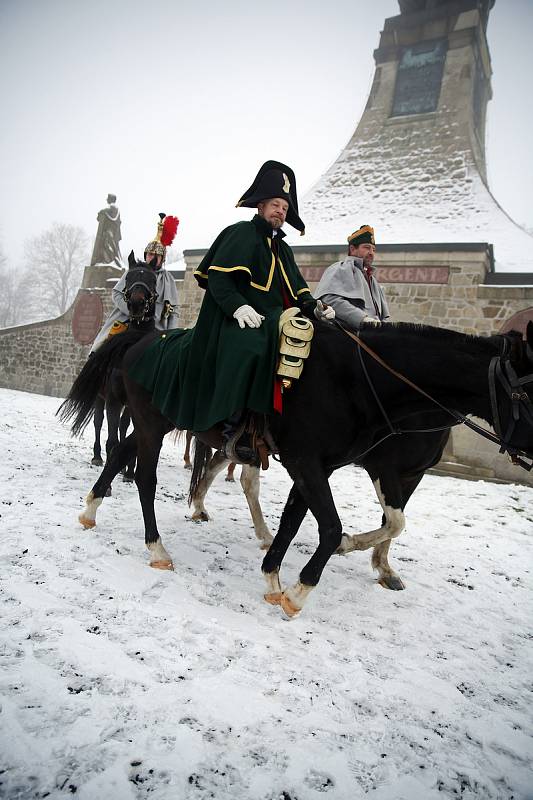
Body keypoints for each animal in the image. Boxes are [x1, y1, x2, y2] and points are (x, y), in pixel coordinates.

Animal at [58, 318, 532, 612]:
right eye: (529, 391)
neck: (357, 382)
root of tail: (143, 339)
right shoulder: (321, 464)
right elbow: (332, 527)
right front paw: (299, 592)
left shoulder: (322, 467)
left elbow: (299, 520)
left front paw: (274, 577)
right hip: (154, 424)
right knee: (144, 476)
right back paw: (156, 547)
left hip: (160, 423)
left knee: (123, 454)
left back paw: (91, 509)